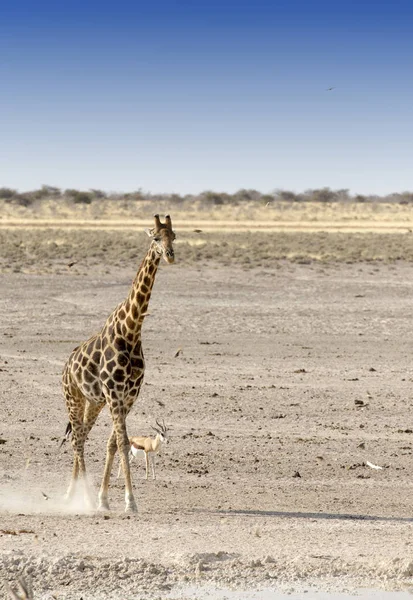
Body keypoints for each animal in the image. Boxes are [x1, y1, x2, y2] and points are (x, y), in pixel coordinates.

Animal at [61, 213, 175, 512]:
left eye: (174, 236)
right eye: (155, 238)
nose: (170, 255)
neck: (132, 330)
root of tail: (65, 368)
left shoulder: (129, 394)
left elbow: (113, 443)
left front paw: (106, 499)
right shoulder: (114, 392)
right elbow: (123, 442)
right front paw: (128, 502)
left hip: (93, 402)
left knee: (81, 436)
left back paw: (72, 495)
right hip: (73, 397)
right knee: (77, 440)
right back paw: (84, 498)